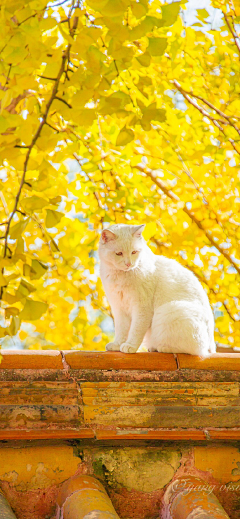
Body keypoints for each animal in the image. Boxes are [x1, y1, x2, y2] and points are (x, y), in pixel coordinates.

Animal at [98, 224, 217, 358]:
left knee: (194, 350)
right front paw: (117, 345)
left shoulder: (142, 308)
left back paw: (161, 348)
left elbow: (135, 330)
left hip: (171, 310)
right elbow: (121, 330)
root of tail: (212, 346)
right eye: (119, 253)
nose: (129, 264)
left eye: (134, 252)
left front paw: (130, 346)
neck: (120, 275)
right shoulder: (119, 308)